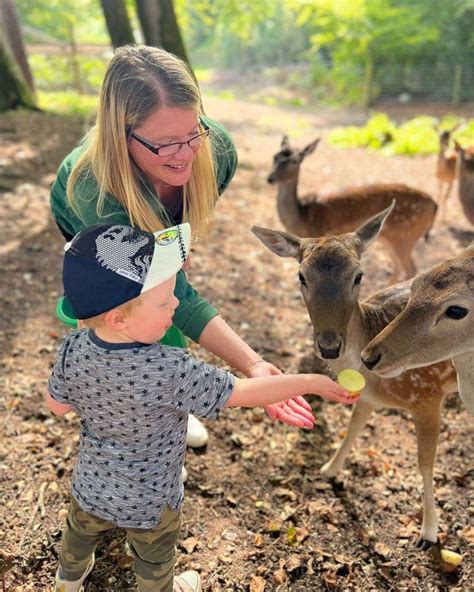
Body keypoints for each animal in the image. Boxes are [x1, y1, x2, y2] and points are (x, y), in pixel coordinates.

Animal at [252, 202, 460, 552]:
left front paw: (429, 532)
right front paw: (329, 469)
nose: (329, 346)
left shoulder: (428, 397)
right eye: (301, 276)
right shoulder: (369, 397)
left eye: (358, 276)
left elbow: (425, 463)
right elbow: (353, 428)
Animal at [266, 135, 436, 280]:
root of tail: (434, 205)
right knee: (399, 268)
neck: (302, 218)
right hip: (390, 239)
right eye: (275, 157)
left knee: (411, 269)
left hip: (404, 236)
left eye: (294, 160)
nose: (270, 178)